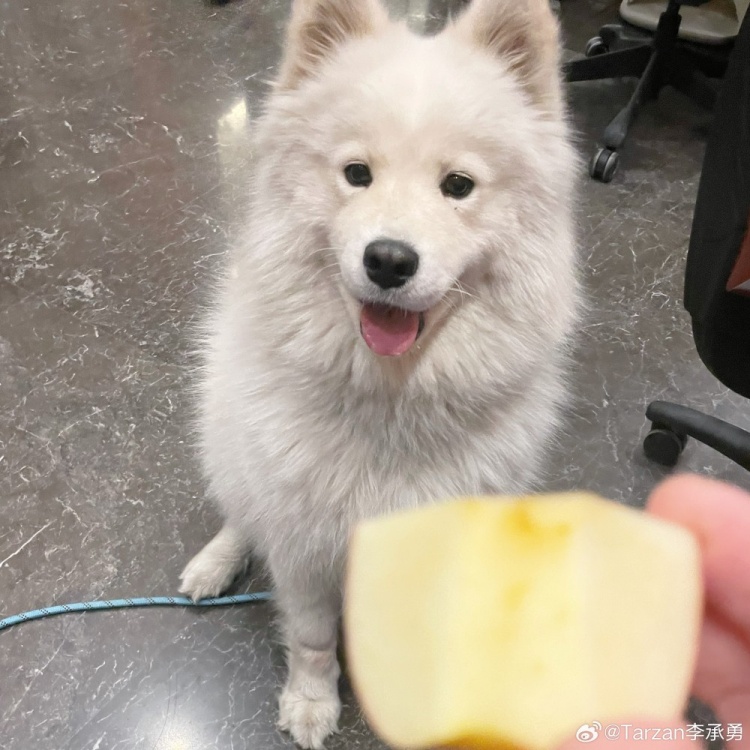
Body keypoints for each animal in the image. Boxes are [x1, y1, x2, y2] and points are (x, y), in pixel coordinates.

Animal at [182, 0, 580, 748]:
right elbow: (312, 639)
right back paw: (215, 562)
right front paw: (312, 704)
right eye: (356, 173)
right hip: (233, 448)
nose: (389, 259)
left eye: (458, 186)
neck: (391, 403)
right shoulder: (305, 543)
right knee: (241, 511)